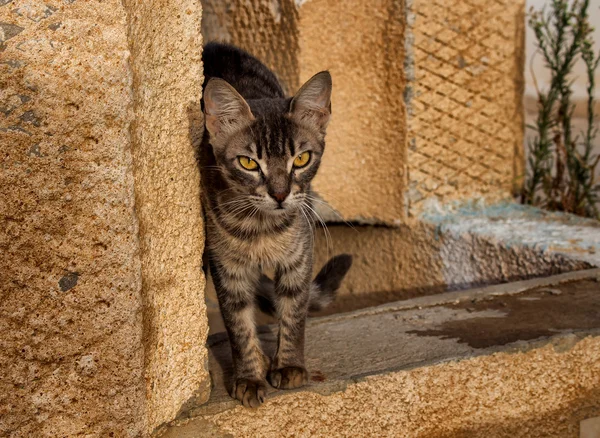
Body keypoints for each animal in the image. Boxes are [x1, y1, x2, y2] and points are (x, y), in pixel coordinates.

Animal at [202, 41, 352, 408]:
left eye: (302, 159)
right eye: (247, 163)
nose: (281, 194)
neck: (262, 229)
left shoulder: (300, 256)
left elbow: (294, 312)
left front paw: (289, 366)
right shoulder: (227, 267)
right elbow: (238, 324)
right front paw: (249, 377)